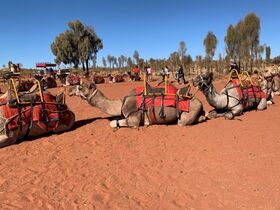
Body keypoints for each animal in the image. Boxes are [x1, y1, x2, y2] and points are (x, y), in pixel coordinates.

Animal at [69, 81, 207, 128]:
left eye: (80, 87)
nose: (69, 90)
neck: (121, 103)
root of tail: (200, 102)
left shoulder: (134, 119)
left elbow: (113, 123)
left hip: (188, 113)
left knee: (182, 122)